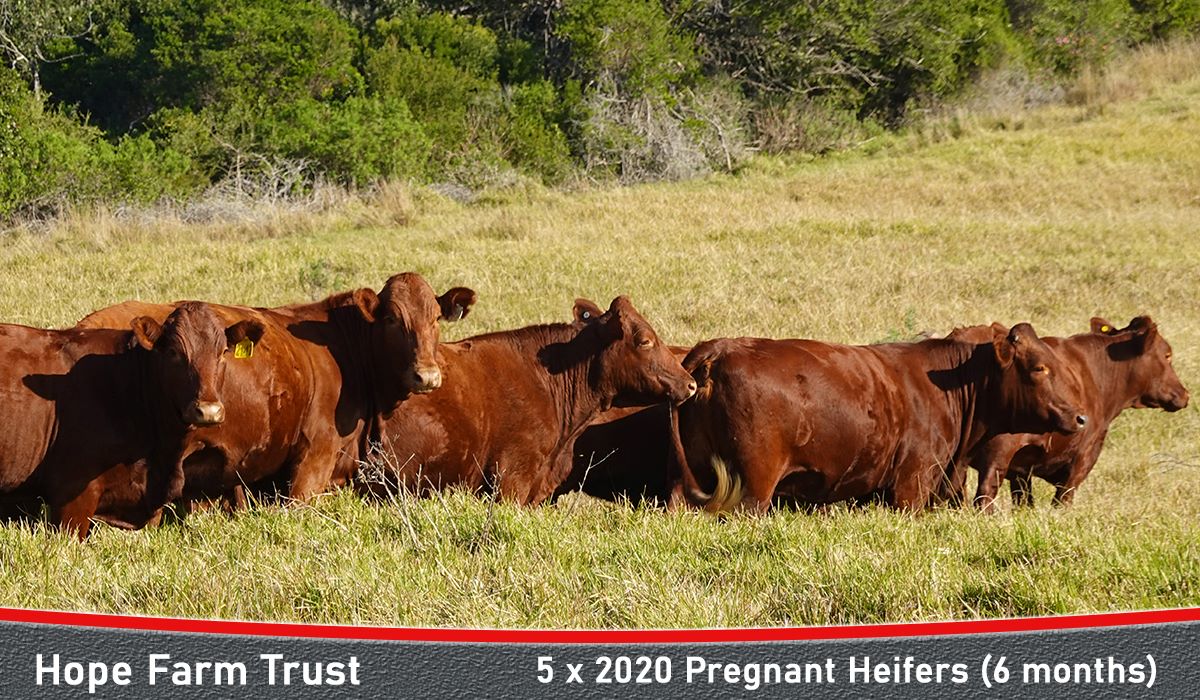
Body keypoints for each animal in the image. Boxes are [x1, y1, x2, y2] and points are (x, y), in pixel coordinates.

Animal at [949, 316, 1189, 511]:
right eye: (1167, 354)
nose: (1184, 394)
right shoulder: (1084, 455)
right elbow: (1062, 501)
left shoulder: (1021, 470)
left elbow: (1024, 503)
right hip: (996, 457)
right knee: (983, 498)